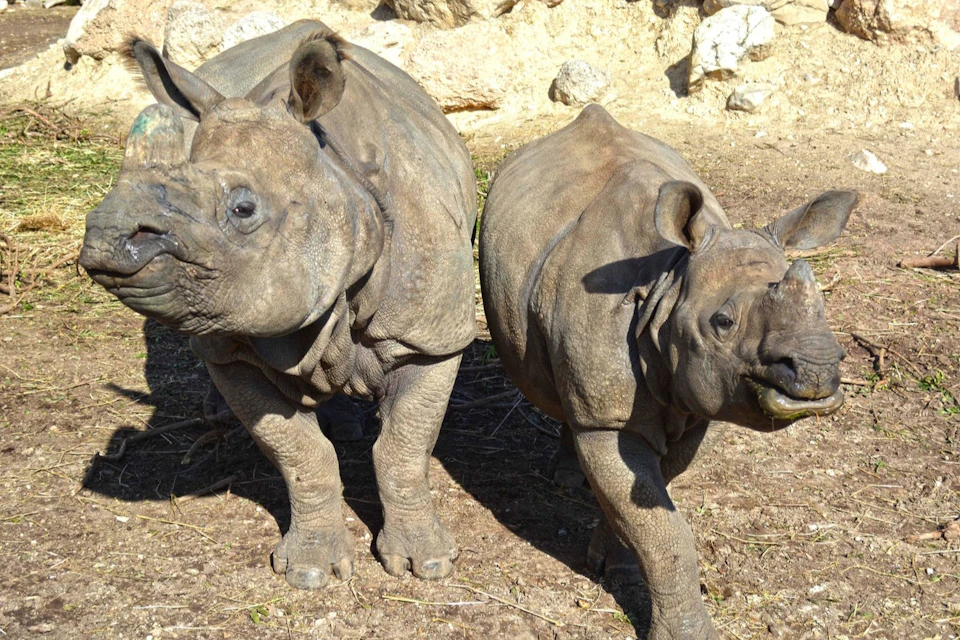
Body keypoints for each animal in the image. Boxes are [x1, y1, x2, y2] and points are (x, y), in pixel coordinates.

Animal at [79, 21, 477, 589]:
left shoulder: (432, 338)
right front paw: (311, 572)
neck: (341, 179)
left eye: (243, 209)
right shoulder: (234, 351)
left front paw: (429, 565)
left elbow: (404, 449)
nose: (105, 236)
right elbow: (301, 454)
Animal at [479, 105, 858, 639]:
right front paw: (685, 630)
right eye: (723, 323)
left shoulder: (699, 402)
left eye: (822, 307)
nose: (817, 369)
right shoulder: (610, 419)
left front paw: (614, 565)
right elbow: (663, 526)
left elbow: (650, 506)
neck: (671, 283)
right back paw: (567, 480)